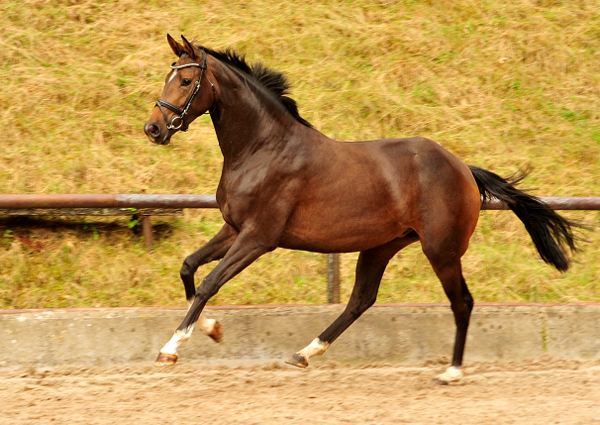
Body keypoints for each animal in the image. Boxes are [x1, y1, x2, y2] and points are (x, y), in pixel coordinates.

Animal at [144, 34, 576, 382]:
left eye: (186, 81)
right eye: (167, 77)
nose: (153, 128)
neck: (261, 148)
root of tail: (463, 169)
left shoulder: (258, 238)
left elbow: (209, 282)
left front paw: (171, 349)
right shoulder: (233, 229)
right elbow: (189, 267)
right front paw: (212, 329)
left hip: (441, 249)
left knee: (462, 302)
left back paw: (451, 372)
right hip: (381, 246)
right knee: (361, 300)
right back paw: (304, 353)